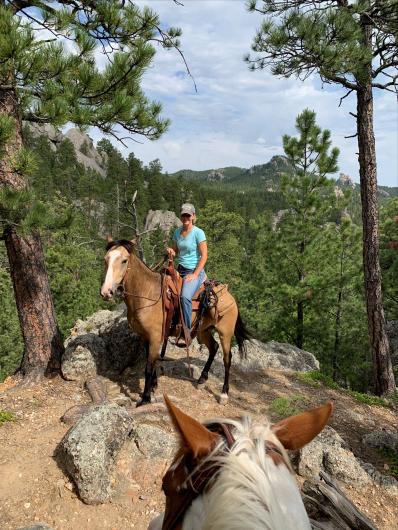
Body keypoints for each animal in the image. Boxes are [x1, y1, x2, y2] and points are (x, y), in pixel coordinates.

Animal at [101, 238, 250, 404]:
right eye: (106, 259)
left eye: (124, 260)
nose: (106, 292)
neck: (147, 294)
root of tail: (230, 295)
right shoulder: (145, 336)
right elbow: (152, 362)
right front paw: (153, 387)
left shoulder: (155, 337)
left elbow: (148, 367)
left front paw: (145, 398)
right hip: (202, 330)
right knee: (214, 347)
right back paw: (201, 379)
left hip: (225, 332)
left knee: (227, 358)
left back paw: (224, 393)